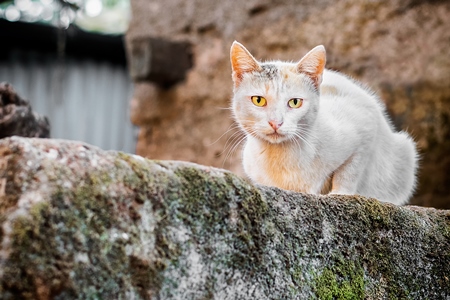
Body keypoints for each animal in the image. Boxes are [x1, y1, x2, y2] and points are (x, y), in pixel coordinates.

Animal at [232, 41, 418, 205]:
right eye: (258, 100)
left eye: (295, 102)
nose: (275, 123)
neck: (282, 156)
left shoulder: (365, 126)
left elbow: (349, 171)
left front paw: (339, 194)